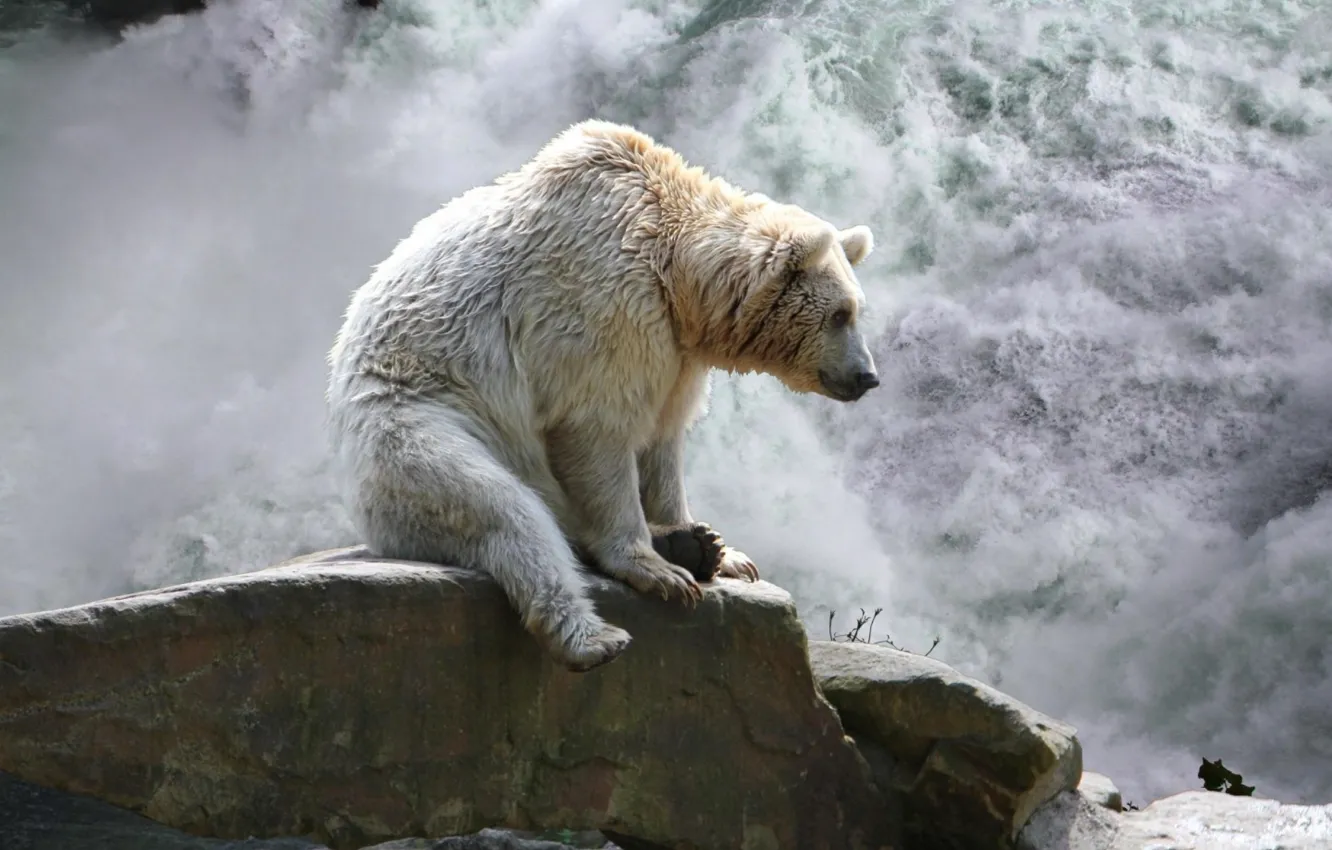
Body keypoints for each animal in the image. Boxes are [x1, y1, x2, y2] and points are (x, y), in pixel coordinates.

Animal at [325, 119, 879, 673]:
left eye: (857, 308)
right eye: (840, 315)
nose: (868, 377)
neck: (674, 270)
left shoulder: (675, 353)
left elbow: (664, 440)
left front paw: (722, 551)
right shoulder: (601, 305)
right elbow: (597, 430)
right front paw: (657, 570)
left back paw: (693, 547)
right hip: (416, 420)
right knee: (500, 509)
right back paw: (595, 636)